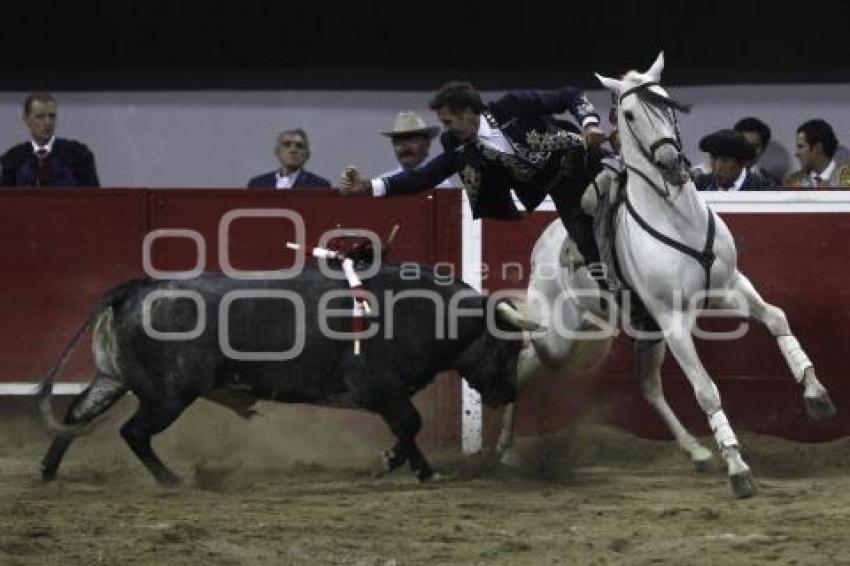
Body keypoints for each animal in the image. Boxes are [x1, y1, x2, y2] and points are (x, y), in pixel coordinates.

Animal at [38, 266, 528, 484]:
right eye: (509, 345)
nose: (509, 394)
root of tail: (137, 288)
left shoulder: (388, 395)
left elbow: (408, 430)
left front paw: (417, 469)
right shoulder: (380, 390)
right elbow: (411, 425)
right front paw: (395, 464)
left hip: (113, 378)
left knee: (78, 413)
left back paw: (48, 470)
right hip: (169, 395)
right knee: (133, 431)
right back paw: (173, 480)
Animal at [496, 51, 836, 500]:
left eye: (666, 101)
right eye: (628, 113)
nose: (671, 163)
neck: (676, 217)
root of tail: (543, 245)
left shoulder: (730, 286)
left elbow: (777, 317)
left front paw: (816, 394)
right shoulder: (673, 319)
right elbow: (706, 389)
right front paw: (738, 467)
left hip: (637, 330)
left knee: (647, 385)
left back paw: (696, 451)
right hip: (561, 335)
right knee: (524, 360)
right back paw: (504, 451)